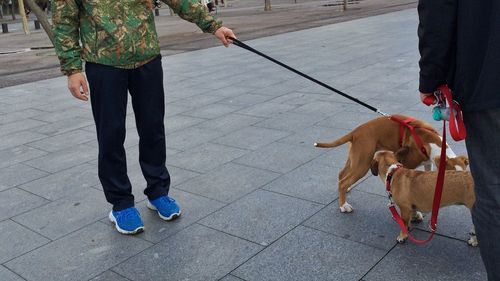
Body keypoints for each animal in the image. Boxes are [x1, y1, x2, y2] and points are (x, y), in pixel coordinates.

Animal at [316, 115, 458, 211]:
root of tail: (355, 132)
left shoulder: (428, 163)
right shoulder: (406, 166)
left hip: (354, 159)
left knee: (341, 175)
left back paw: (345, 191)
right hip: (362, 164)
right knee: (343, 181)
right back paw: (343, 205)